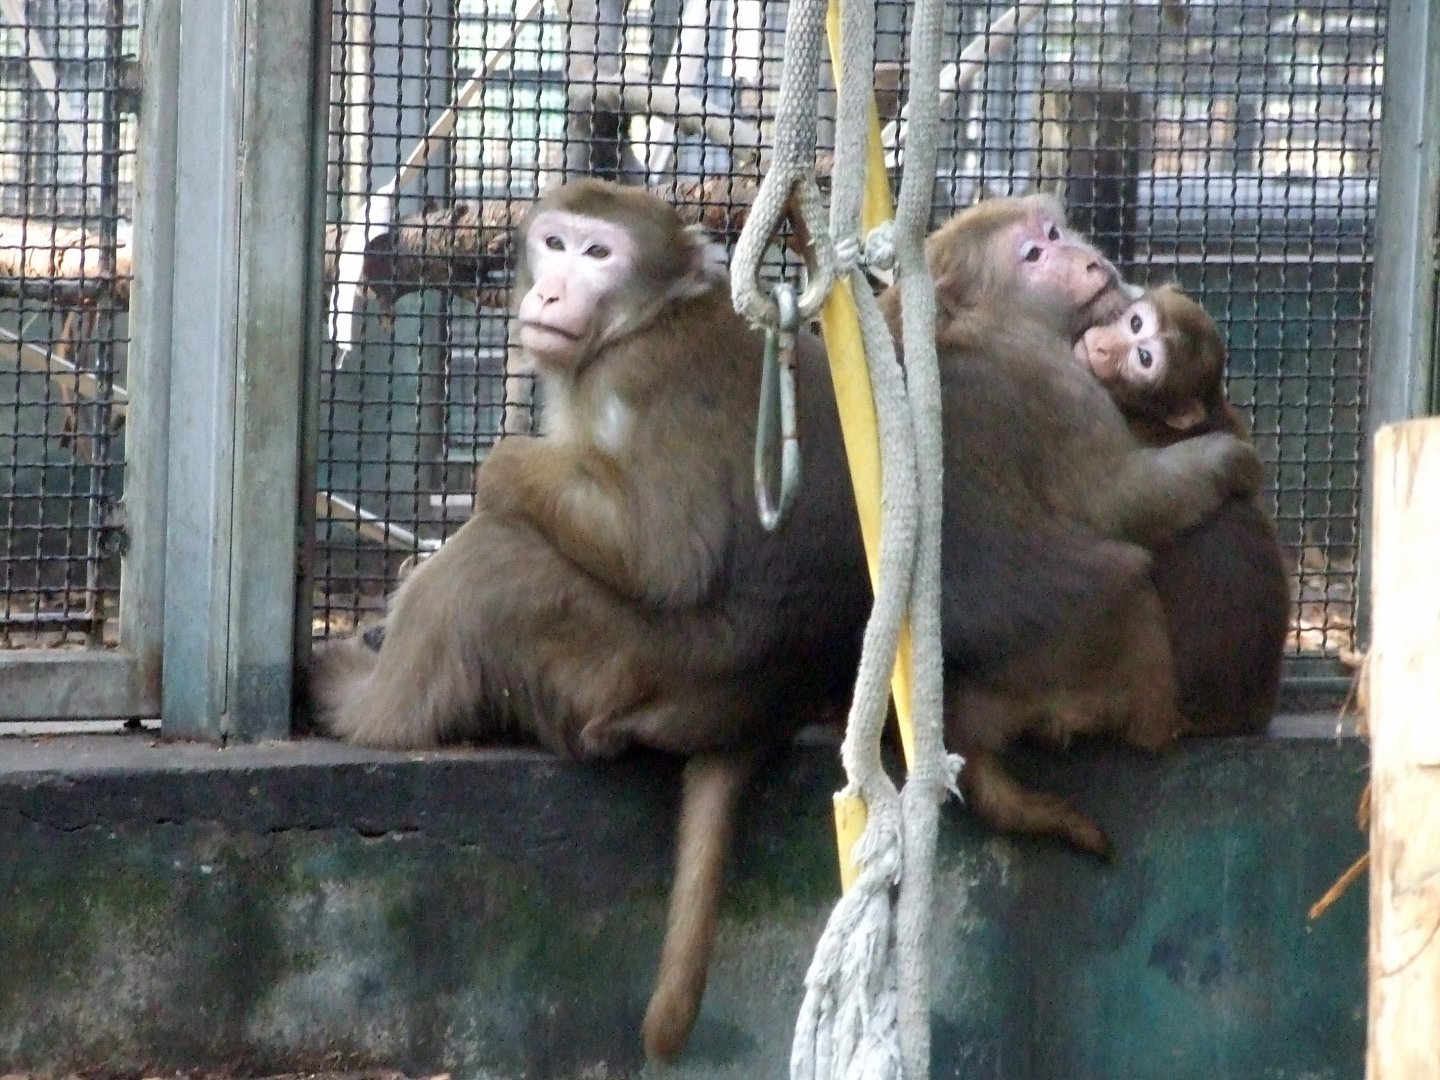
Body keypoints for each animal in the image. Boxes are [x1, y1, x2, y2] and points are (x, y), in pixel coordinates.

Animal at [305, 179, 871, 1064]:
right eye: (555, 244)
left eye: (600, 254)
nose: (549, 293)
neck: (647, 319)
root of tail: (752, 716)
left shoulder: (635, 376)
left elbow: (666, 555)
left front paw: (500, 469)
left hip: (621, 666)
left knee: (497, 564)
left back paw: (364, 704)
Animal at [878, 193, 1262, 856]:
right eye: (1033, 254)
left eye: (1054, 233)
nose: (1085, 260)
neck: (965, 318)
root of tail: (962, 718)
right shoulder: (1054, 378)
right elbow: (1118, 499)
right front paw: (1229, 460)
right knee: (1131, 582)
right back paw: (1155, 726)